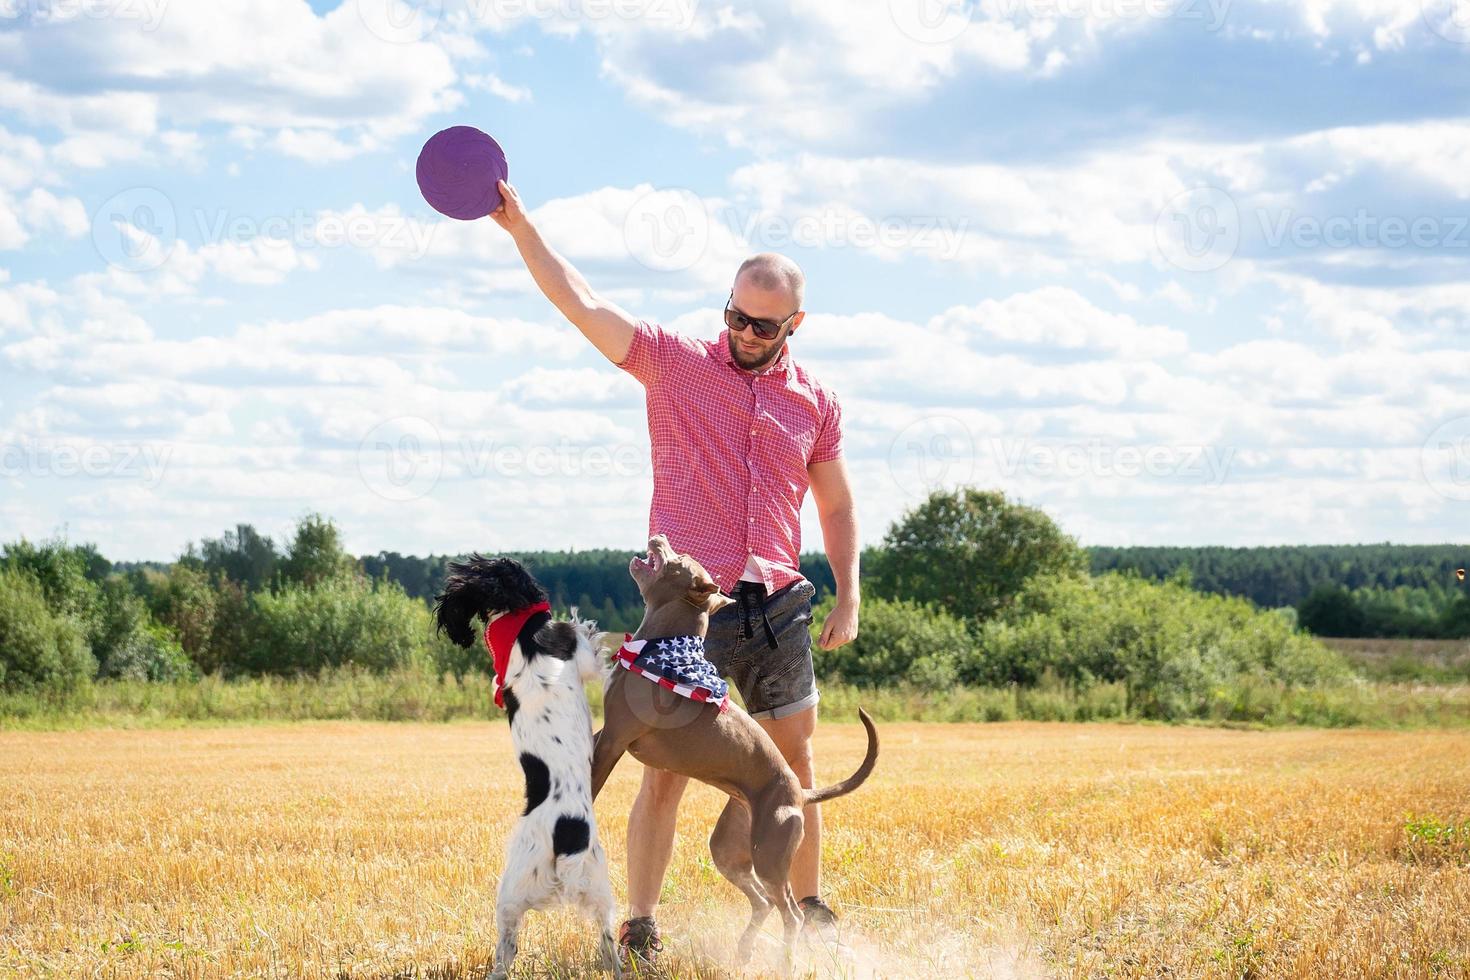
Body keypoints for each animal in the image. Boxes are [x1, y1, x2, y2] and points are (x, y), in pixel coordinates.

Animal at [432, 555, 623, 975]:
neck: (519, 629)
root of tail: (566, 840)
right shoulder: (578, 655)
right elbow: (587, 643)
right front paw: (586, 622)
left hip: (586, 883)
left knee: (597, 935)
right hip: (525, 884)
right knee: (512, 942)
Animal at [590, 540, 876, 969]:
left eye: (678, 560)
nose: (659, 538)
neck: (660, 647)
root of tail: (799, 793)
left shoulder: (614, 738)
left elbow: (589, 782)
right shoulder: (603, 733)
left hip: (770, 851)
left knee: (789, 911)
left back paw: (786, 962)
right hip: (730, 847)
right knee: (762, 902)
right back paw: (744, 951)